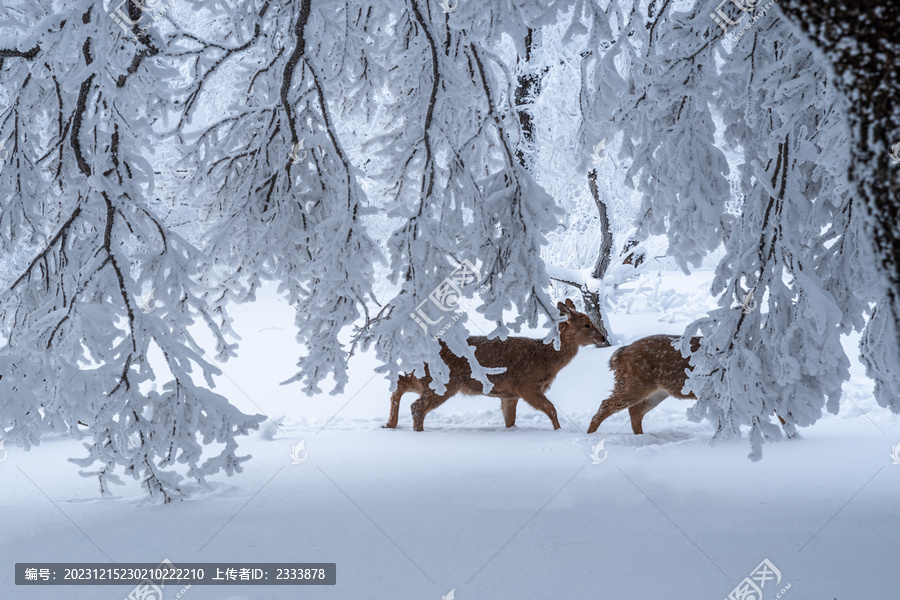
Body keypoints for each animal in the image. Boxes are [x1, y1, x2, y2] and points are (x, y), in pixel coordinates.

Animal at [384, 298, 608, 432]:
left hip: (425, 379)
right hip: (444, 382)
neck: (545, 358)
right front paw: (559, 431)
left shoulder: (510, 394)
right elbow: (551, 408)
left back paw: (389, 424)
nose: (603, 337)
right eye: (587, 324)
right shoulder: (527, 385)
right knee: (416, 406)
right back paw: (417, 431)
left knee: (399, 385)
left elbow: (510, 420)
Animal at [584, 332, 788, 436]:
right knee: (606, 405)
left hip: (659, 391)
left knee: (635, 411)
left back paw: (641, 437)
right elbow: (783, 417)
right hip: (634, 384)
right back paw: (590, 435)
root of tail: (619, 354)